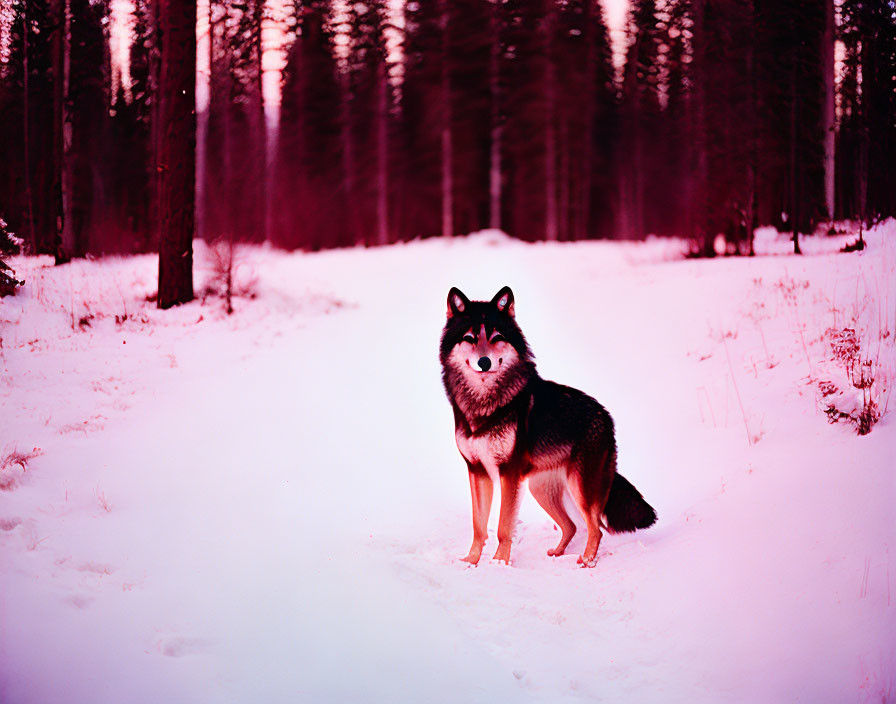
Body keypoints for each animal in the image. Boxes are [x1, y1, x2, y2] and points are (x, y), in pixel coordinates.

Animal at [442, 286, 656, 568]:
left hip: (579, 489)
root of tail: (607, 418)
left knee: (596, 528)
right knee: (572, 526)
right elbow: (479, 526)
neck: (484, 402)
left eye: (497, 337)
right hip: (540, 490)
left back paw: (585, 562)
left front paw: (499, 564)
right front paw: (471, 562)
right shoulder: (477, 471)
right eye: (469, 337)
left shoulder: (508, 473)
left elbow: (502, 528)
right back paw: (558, 553)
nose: (484, 362)